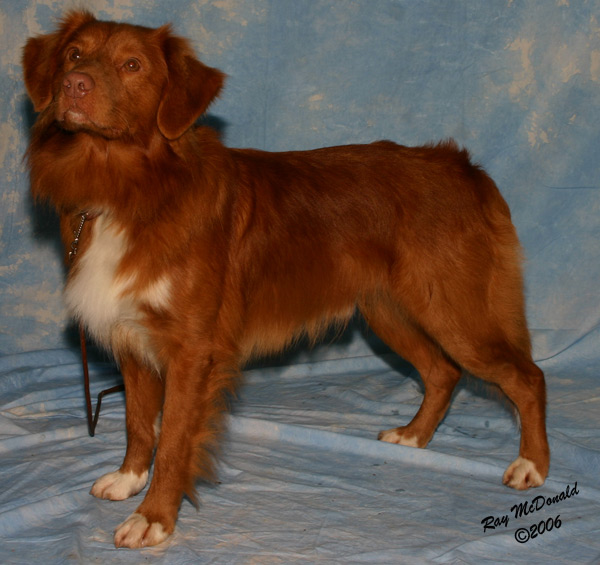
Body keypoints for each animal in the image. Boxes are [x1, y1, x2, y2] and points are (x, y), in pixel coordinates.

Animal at [22, 8, 548, 548]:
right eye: (74, 54)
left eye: (132, 65)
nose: (74, 85)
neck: (130, 188)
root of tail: (462, 166)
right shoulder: (132, 337)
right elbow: (138, 424)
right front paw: (129, 479)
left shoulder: (191, 350)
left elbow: (172, 440)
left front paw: (154, 518)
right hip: (390, 311)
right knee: (444, 372)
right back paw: (414, 436)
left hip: (452, 311)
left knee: (527, 376)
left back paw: (531, 466)